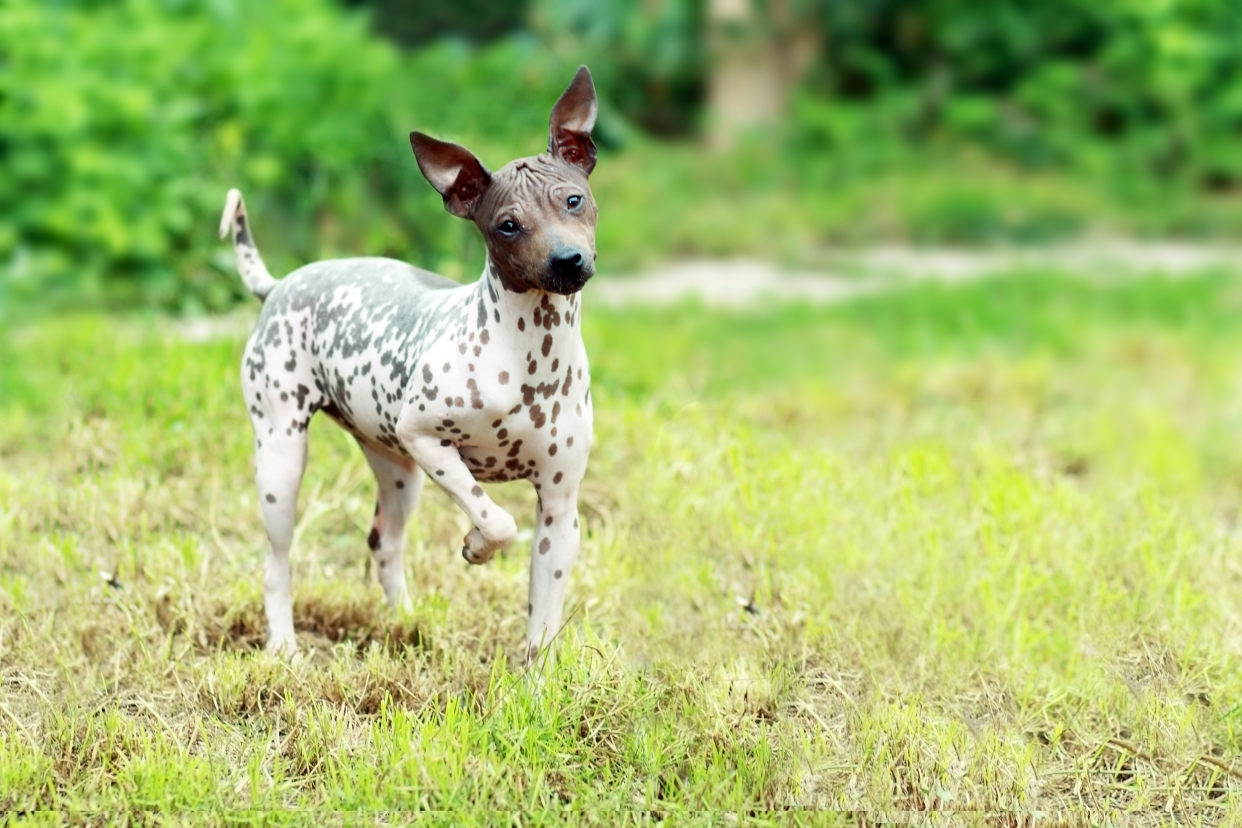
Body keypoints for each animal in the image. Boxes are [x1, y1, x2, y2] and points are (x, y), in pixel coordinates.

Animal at [222, 64, 601, 665]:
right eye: (508, 225)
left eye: (572, 200)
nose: (568, 261)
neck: (528, 357)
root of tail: (280, 283)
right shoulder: (427, 439)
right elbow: (497, 518)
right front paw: (476, 545)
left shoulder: (560, 512)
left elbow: (542, 623)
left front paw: (536, 681)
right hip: (282, 459)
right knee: (277, 562)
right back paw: (284, 645)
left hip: (397, 470)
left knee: (384, 543)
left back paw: (407, 622)